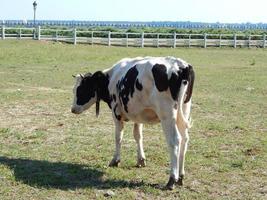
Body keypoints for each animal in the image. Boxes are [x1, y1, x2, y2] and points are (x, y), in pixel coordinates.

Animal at [72, 55, 196, 189]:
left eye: (81, 89)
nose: (72, 109)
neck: (112, 78)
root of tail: (181, 65)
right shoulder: (138, 115)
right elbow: (138, 136)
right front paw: (141, 160)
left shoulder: (116, 113)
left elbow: (118, 137)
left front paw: (115, 160)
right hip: (184, 110)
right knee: (185, 139)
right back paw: (181, 177)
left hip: (167, 115)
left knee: (175, 141)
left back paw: (172, 179)